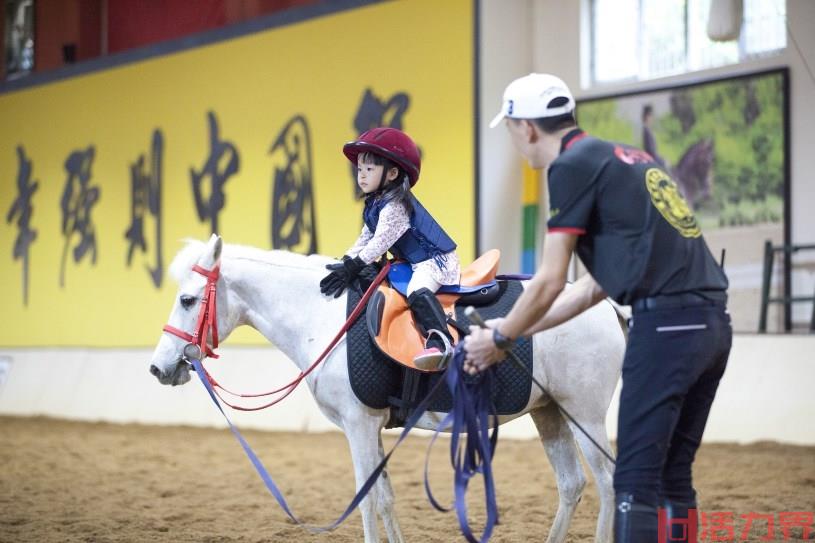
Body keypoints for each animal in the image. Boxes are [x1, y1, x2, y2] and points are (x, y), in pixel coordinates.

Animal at [150, 235, 624, 543]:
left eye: (188, 300)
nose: (159, 366)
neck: (323, 317)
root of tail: (603, 304)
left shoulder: (358, 425)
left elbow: (366, 501)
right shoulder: (373, 427)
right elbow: (385, 499)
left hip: (585, 415)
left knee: (608, 484)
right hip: (551, 412)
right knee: (571, 484)